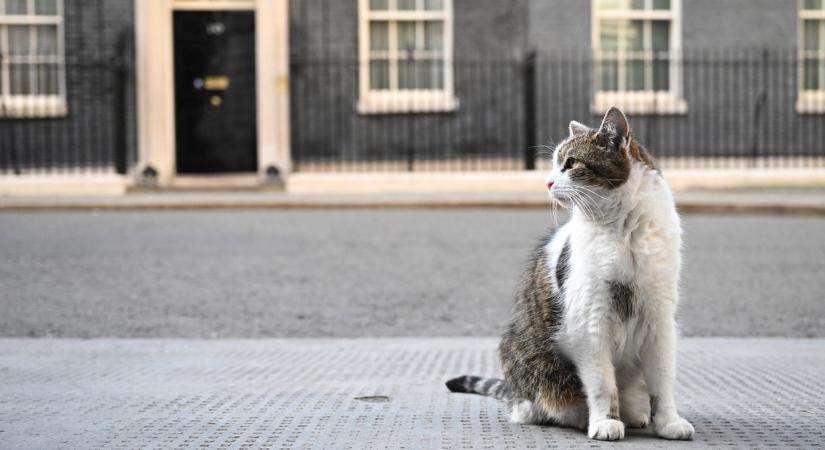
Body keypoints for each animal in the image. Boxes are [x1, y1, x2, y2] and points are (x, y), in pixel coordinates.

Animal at [448, 107, 692, 442]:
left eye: (571, 163)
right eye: (553, 165)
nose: (548, 183)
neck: (623, 230)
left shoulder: (659, 319)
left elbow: (663, 382)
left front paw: (668, 422)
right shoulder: (590, 321)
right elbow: (602, 384)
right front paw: (605, 422)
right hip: (526, 359)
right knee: (534, 404)